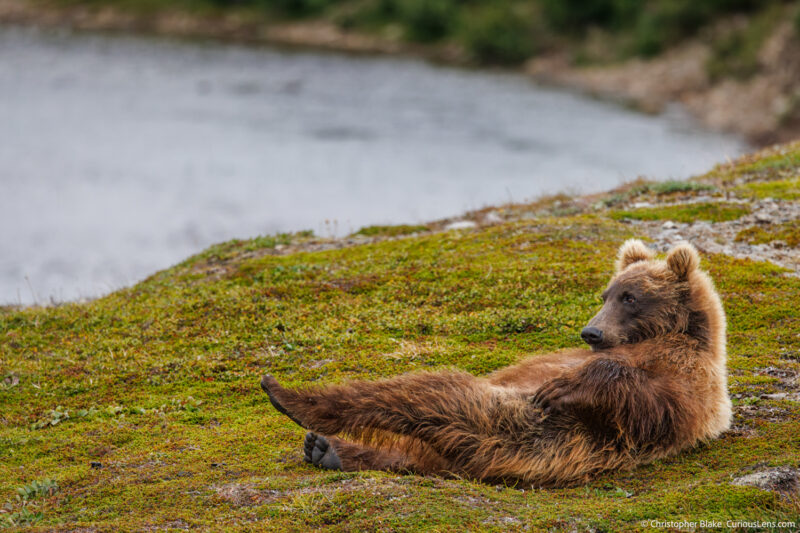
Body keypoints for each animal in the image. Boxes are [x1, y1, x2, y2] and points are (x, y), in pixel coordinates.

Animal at [260, 241, 732, 486]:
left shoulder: (685, 384)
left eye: (630, 297)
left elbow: (646, 400)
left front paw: (563, 386)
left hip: (506, 428)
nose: (591, 333)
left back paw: (294, 402)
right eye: (607, 293)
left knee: (430, 395)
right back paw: (324, 447)